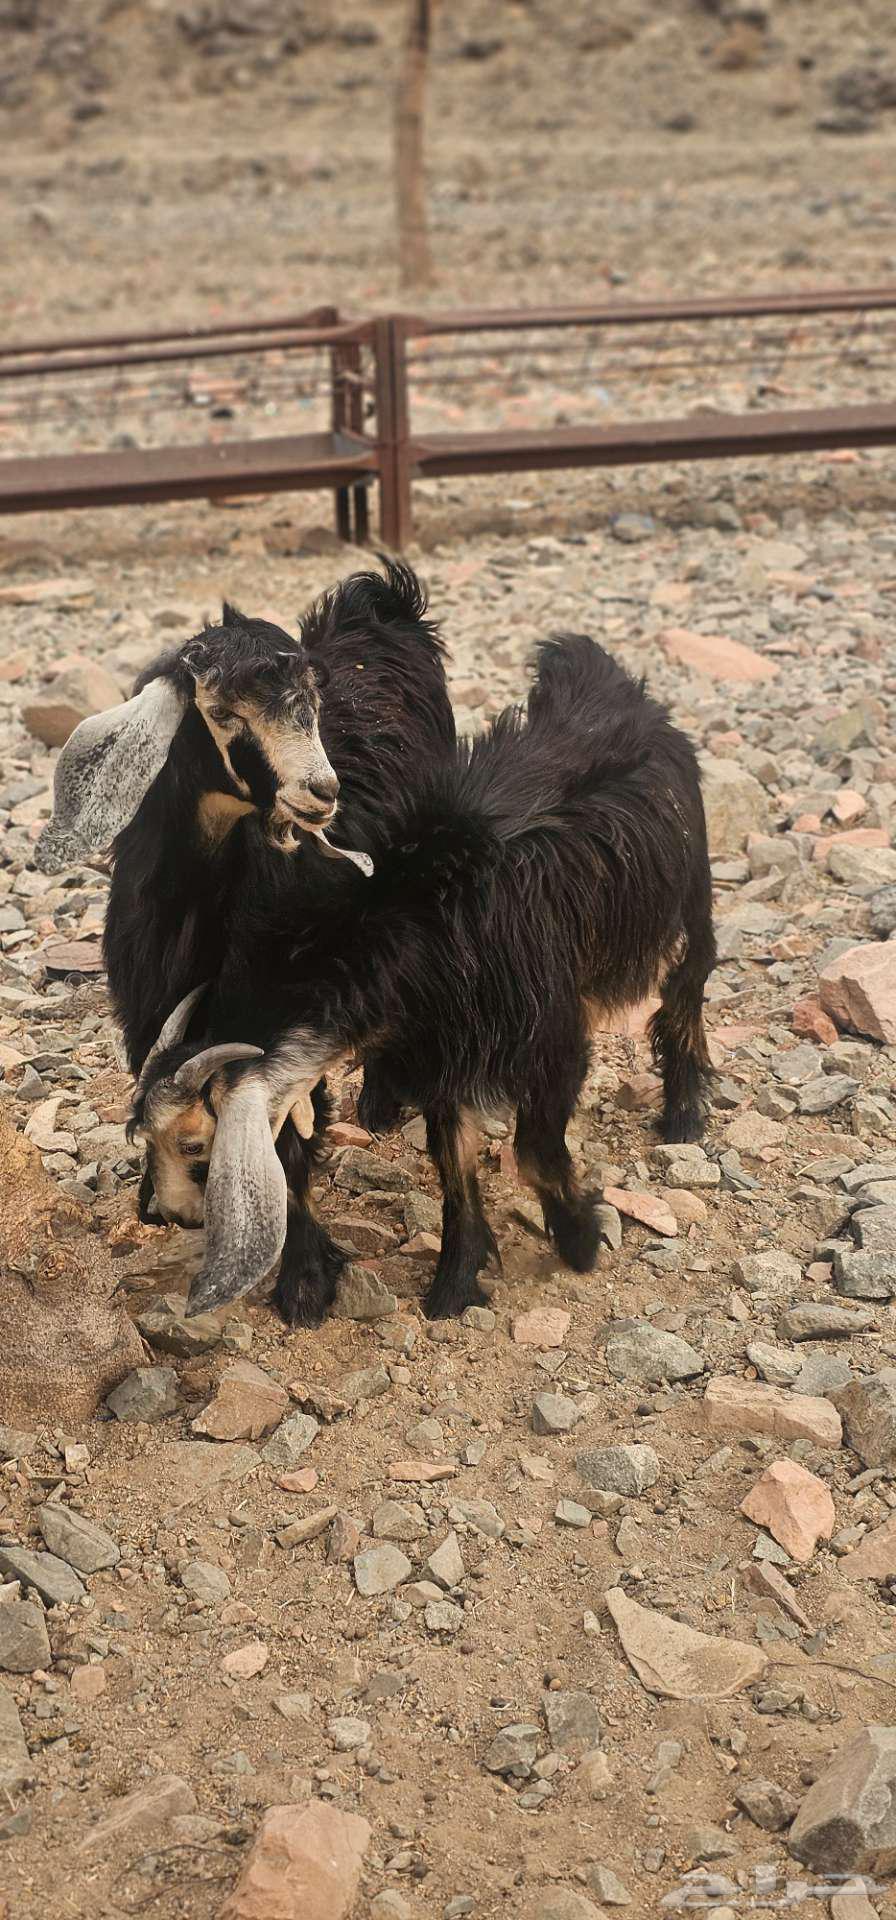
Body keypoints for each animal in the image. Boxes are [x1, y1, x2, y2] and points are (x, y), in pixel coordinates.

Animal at [35, 563, 456, 1322]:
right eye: (223, 713)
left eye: (312, 705)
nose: (321, 794)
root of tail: (376, 600)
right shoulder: (153, 1007)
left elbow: (282, 1130)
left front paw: (305, 1276)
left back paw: (382, 1104)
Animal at [132, 635, 716, 1325]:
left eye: (195, 1145)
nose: (166, 1215)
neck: (402, 929)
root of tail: (617, 685)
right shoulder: (442, 1053)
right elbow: (453, 1163)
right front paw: (455, 1283)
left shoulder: (554, 1042)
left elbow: (534, 1152)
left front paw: (580, 1239)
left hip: (690, 897)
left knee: (686, 994)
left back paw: (684, 1114)